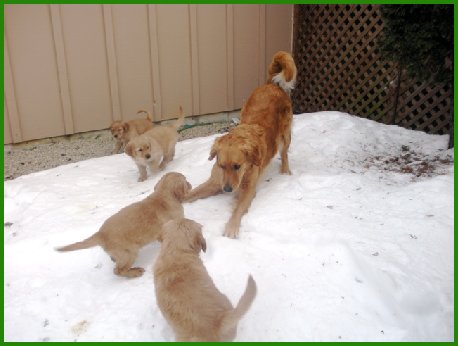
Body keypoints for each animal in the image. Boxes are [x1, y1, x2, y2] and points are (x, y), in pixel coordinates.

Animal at [56, 173, 191, 278]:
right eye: (185, 179)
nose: (190, 183)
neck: (162, 196)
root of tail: (100, 234)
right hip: (129, 253)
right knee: (118, 270)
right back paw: (135, 272)